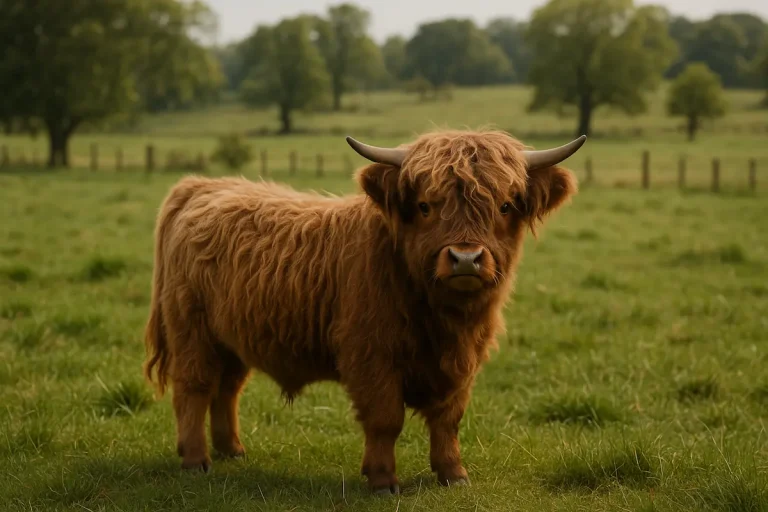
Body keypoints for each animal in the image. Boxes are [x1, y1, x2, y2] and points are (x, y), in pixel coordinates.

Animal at [143, 129, 585, 494]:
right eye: (425, 206)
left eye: (505, 206)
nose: (465, 259)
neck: (442, 318)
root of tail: (202, 186)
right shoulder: (371, 357)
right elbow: (385, 419)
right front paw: (383, 480)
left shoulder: (463, 363)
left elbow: (448, 419)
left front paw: (453, 474)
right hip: (192, 332)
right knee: (194, 388)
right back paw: (196, 460)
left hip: (232, 338)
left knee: (227, 389)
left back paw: (232, 449)